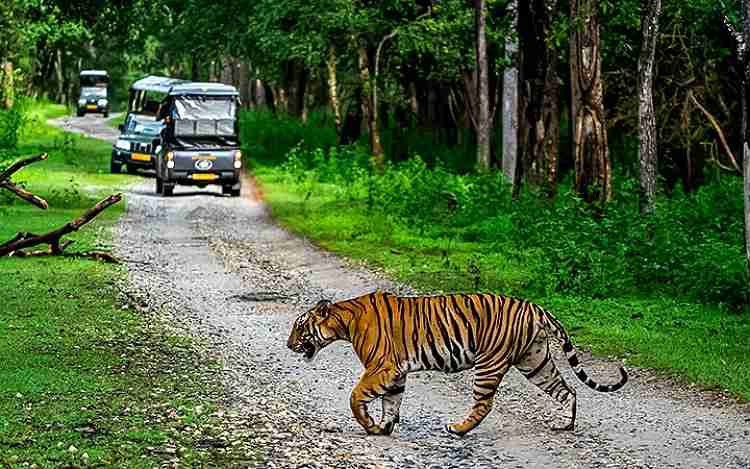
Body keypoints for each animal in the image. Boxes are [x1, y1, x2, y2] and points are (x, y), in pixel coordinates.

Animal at [288, 288, 628, 436]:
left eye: (300, 326)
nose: (289, 344)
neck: (344, 322)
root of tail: (535, 307)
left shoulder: (381, 367)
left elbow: (355, 396)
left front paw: (370, 425)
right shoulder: (395, 373)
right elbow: (391, 402)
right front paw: (383, 427)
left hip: (490, 363)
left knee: (484, 404)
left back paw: (458, 428)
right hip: (535, 361)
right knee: (567, 390)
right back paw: (564, 425)